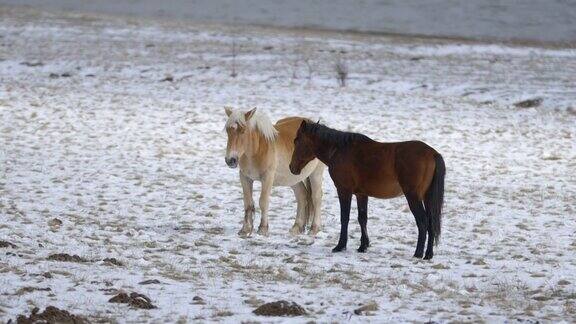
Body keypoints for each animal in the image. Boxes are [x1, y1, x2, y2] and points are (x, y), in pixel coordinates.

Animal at [224, 107, 324, 237]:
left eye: (243, 131)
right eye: (227, 130)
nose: (230, 160)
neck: (257, 150)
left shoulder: (267, 177)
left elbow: (263, 201)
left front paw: (263, 229)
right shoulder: (245, 177)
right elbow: (248, 203)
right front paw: (245, 230)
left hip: (316, 174)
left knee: (316, 197)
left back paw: (314, 229)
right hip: (293, 178)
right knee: (302, 196)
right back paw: (296, 227)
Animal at [288, 120, 446, 260]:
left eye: (297, 140)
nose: (291, 168)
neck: (339, 150)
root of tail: (433, 153)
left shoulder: (344, 191)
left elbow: (344, 218)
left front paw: (340, 246)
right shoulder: (361, 194)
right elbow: (362, 218)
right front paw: (363, 246)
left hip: (413, 196)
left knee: (423, 221)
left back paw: (418, 253)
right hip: (427, 197)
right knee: (431, 222)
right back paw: (428, 254)